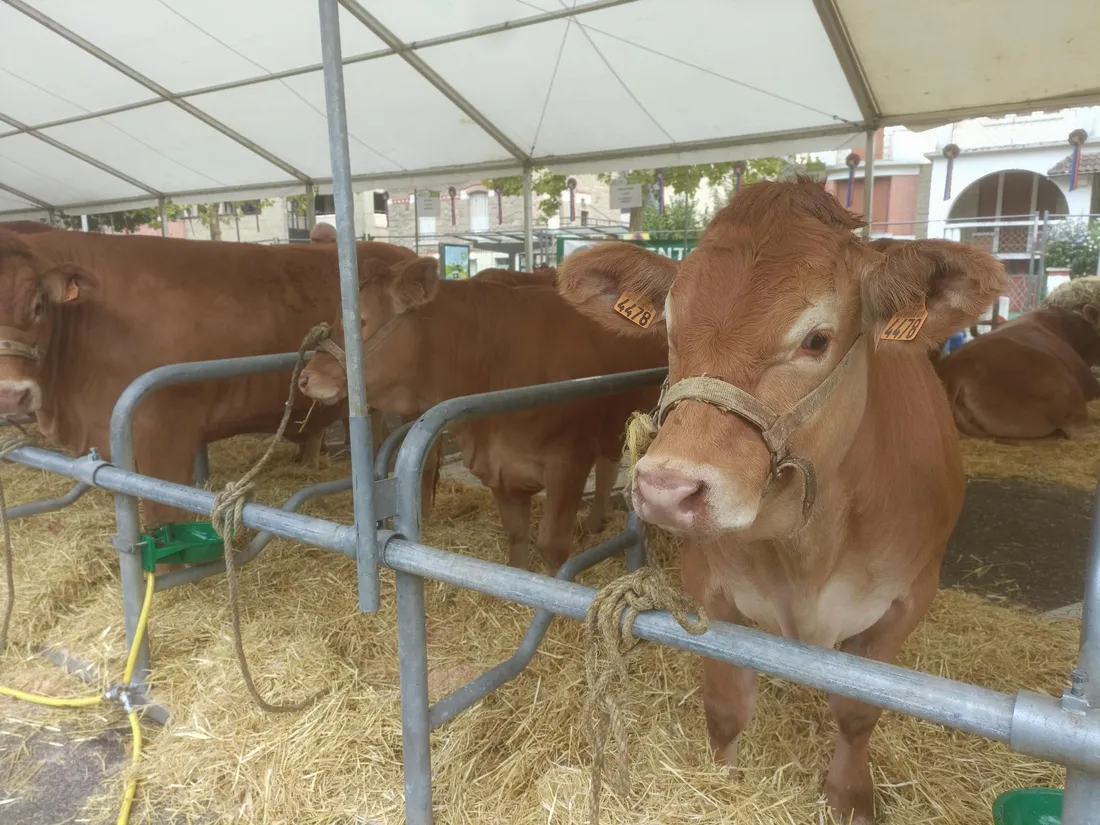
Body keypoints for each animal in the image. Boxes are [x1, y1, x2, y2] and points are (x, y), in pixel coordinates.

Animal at [296, 261, 667, 571]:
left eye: (359, 321)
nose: (305, 378)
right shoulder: (500, 468)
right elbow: (515, 535)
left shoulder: (569, 463)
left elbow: (552, 545)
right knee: (607, 465)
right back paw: (593, 524)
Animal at [554, 179, 1006, 824]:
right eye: (669, 329)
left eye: (816, 339)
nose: (667, 488)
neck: (808, 549)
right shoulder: (709, 588)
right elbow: (725, 706)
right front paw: (723, 784)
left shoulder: (909, 596)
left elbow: (857, 712)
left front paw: (850, 798)